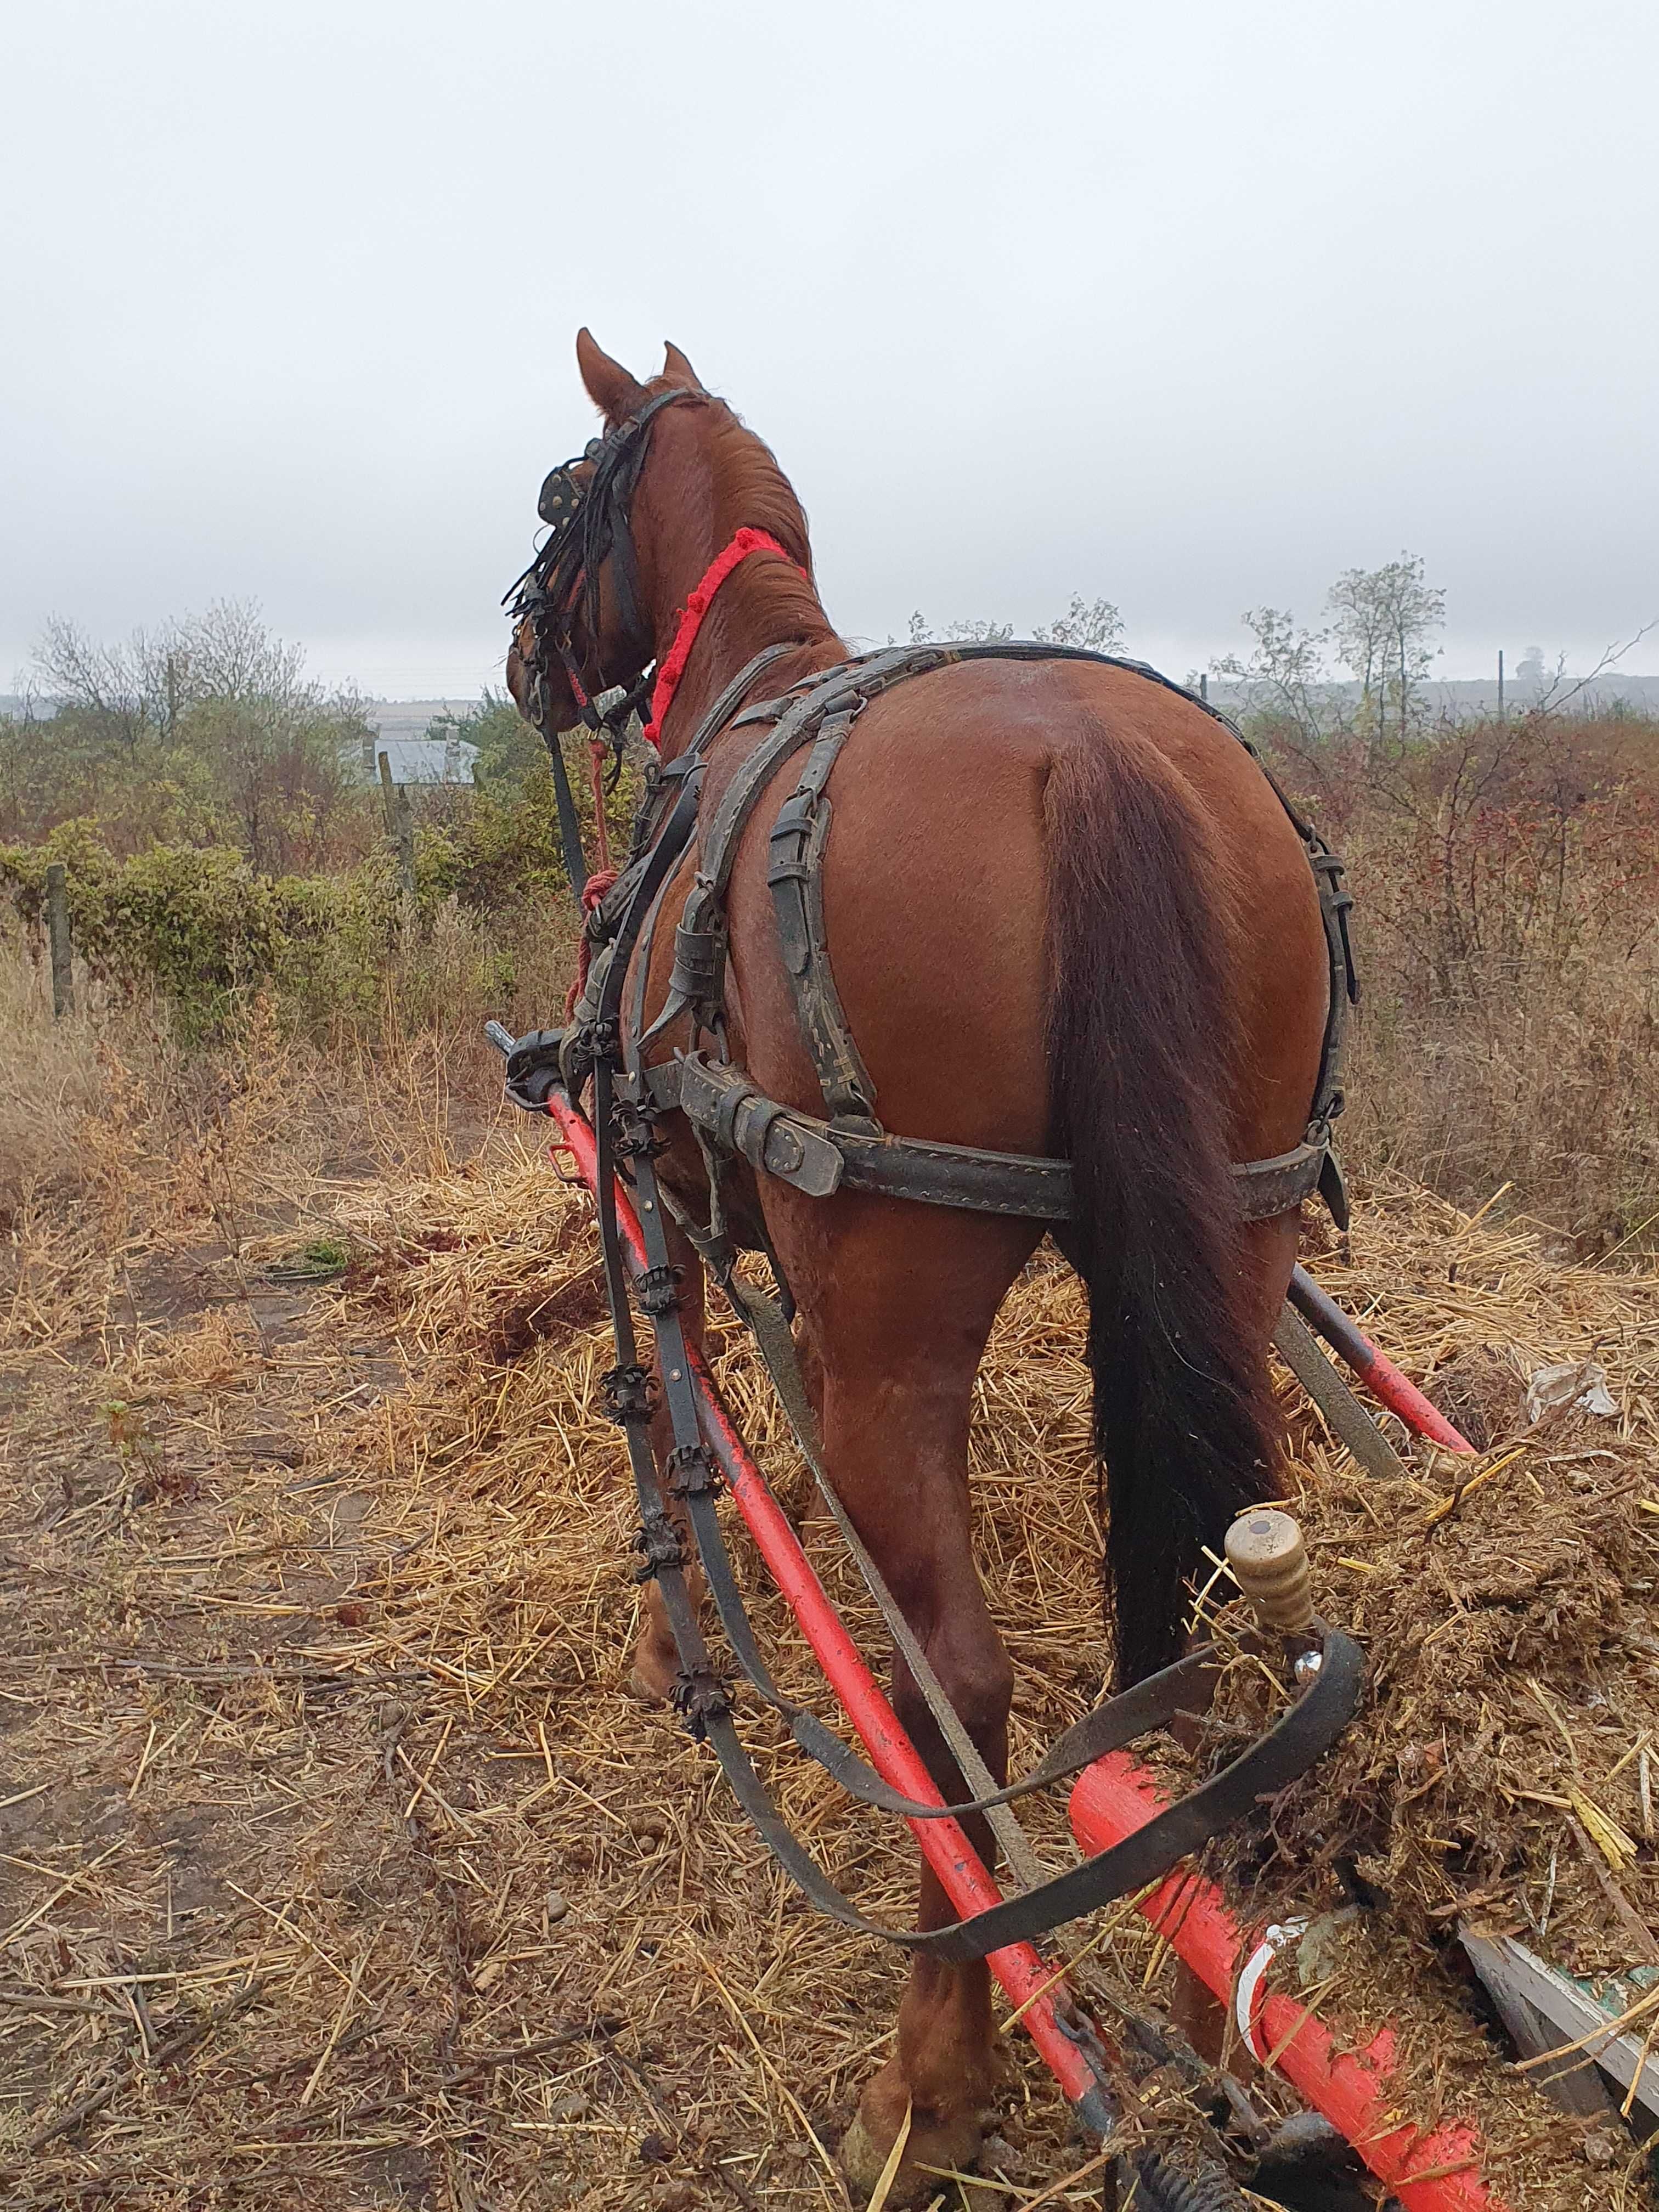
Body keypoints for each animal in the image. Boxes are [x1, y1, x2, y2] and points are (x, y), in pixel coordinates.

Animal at [506, 331, 1336, 2194]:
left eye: (557, 499)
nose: (521, 656)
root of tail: (1087, 755)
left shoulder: (666, 1197)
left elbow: (685, 1414)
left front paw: (678, 1641)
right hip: (1237, 1250)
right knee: (1209, 1648)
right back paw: (1220, 2031)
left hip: (906, 1310)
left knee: (951, 1678)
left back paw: (936, 2077)